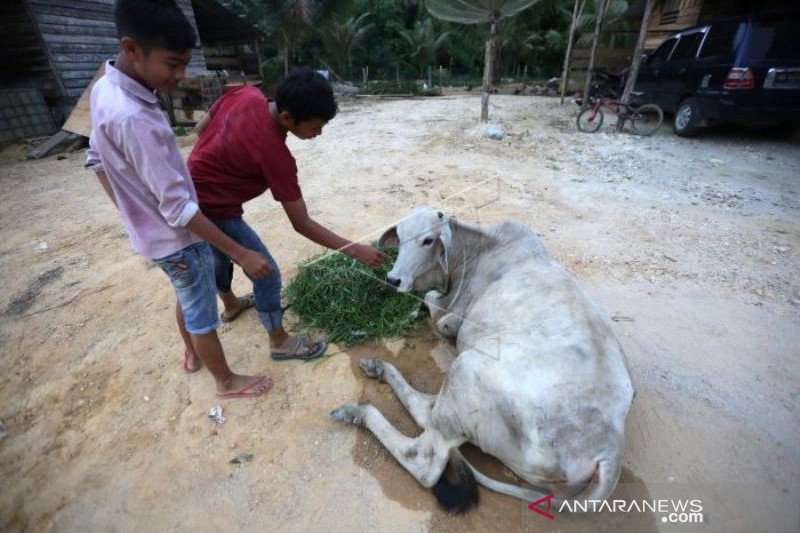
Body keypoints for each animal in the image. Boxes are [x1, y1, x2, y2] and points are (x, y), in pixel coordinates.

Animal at [330, 207, 632, 512]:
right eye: (400, 237)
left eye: (428, 240)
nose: (393, 279)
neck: (479, 252)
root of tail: (608, 450)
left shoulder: (451, 319)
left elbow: (431, 302)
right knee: (428, 410)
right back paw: (378, 368)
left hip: (466, 370)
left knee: (425, 456)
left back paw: (358, 411)